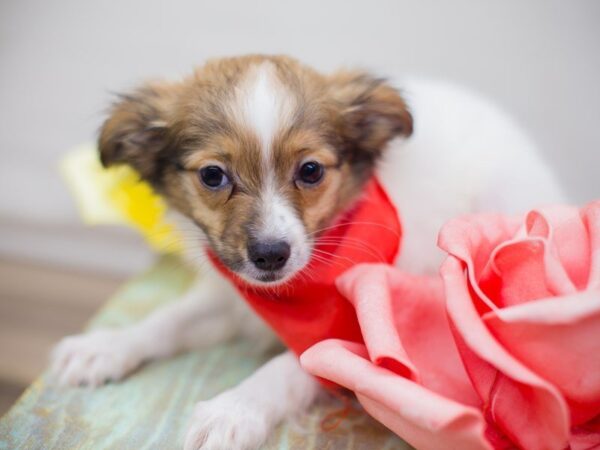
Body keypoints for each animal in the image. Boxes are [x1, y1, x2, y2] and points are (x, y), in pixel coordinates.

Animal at [50, 54, 564, 448]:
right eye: (213, 175)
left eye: (311, 170)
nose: (270, 255)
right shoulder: (230, 299)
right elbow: (167, 320)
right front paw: (106, 346)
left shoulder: (360, 337)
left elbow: (288, 366)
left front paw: (234, 409)